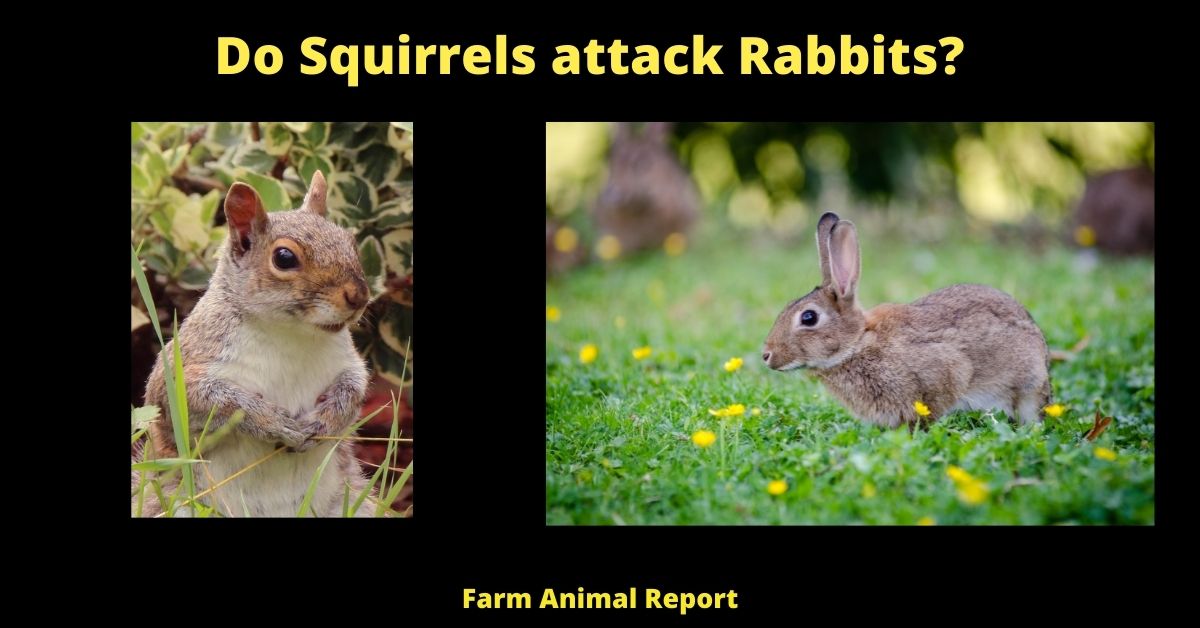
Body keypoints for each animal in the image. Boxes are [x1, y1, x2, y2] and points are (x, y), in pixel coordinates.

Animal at [133, 171, 383, 517]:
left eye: (351, 242)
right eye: (284, 257)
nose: (359, 295)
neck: (291, 333)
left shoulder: (347, 361)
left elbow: (354, 385)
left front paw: (327, 419)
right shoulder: (188, 364)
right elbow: (209, 400)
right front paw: (271, 422)